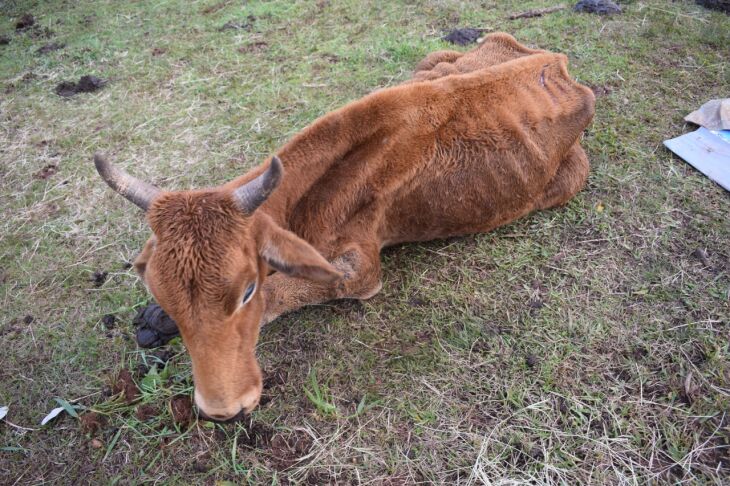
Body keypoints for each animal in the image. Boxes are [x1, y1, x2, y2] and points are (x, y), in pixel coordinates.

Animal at [95, 34, 592, 422]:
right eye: (163, 292)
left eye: (247, 290)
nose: (221, 409)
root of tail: (555, 61)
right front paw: (156, 321)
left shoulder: (360, 270)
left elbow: (293, 288)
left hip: (570, 179)